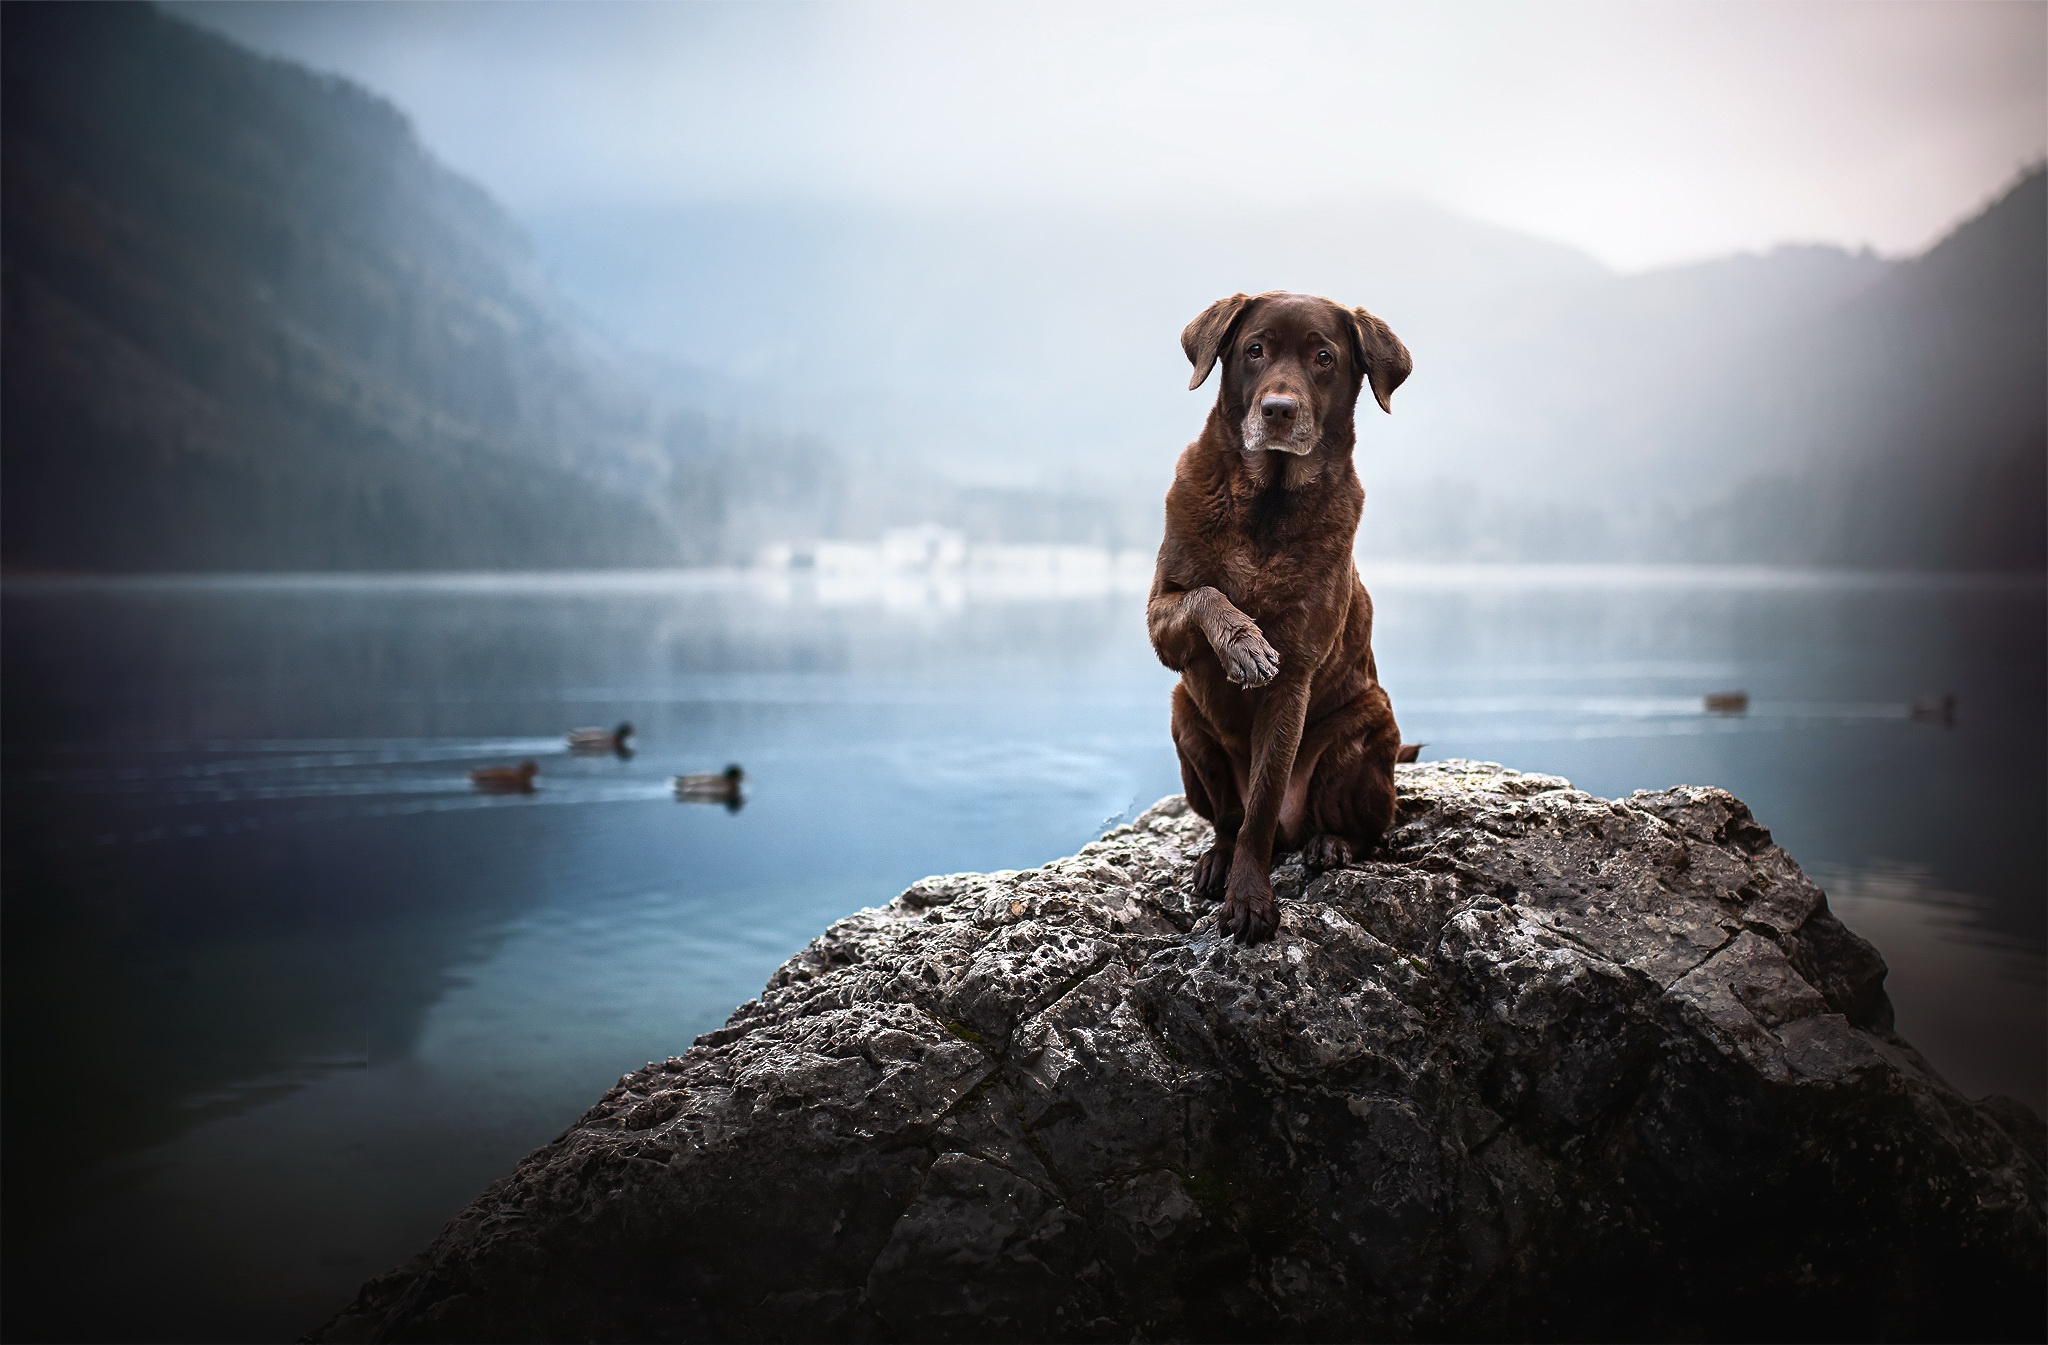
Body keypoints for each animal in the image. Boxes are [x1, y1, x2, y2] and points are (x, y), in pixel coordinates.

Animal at [1146, 290, 1417, 945]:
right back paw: (1216, 859)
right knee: (1226, 817)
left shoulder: (1293, 681)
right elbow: (1206, 595)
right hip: (1185, 720)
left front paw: (1250, 898)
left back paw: (1330, 845)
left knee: (1358, 828)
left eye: (1323, 357)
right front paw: (1242, 641)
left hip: (1367, 731)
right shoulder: (1161, 616)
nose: (1277, 410)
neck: (1264, 502)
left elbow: (1263, 809)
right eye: (1254, 350)